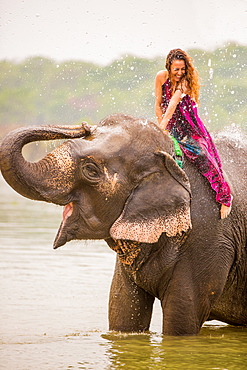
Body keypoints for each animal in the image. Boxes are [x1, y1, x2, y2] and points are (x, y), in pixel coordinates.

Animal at [0, 113, 247, 336]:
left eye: (91, 170)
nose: (84, 126)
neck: (172, 160)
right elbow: (123, 309)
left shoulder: (208, 242)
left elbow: (182, 322)